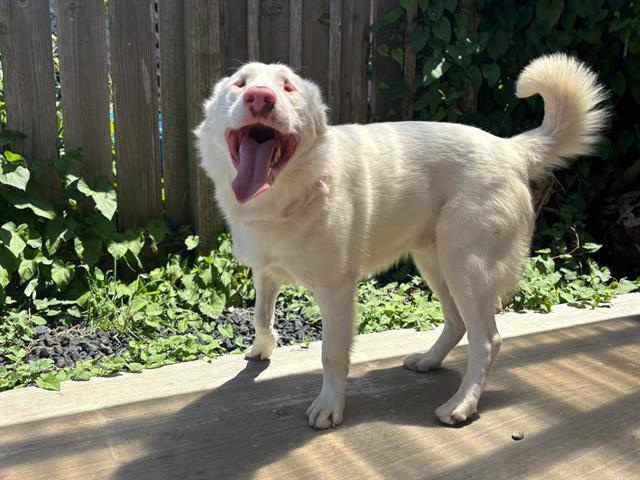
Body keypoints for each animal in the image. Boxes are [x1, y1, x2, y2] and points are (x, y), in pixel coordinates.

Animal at [198, 54, 608, 430]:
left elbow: (332, 355)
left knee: (488, 340)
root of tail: (511, 149)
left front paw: (330, 407)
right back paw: (428, 361)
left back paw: (461, 405)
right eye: (240, 83)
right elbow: (261, 316)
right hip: (435, 264)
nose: (260, 98)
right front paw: (261, 349)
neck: (289, 194)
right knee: (456, 323)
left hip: (467, 269)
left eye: (287, 87)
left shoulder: (336, 292)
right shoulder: (264, 273)